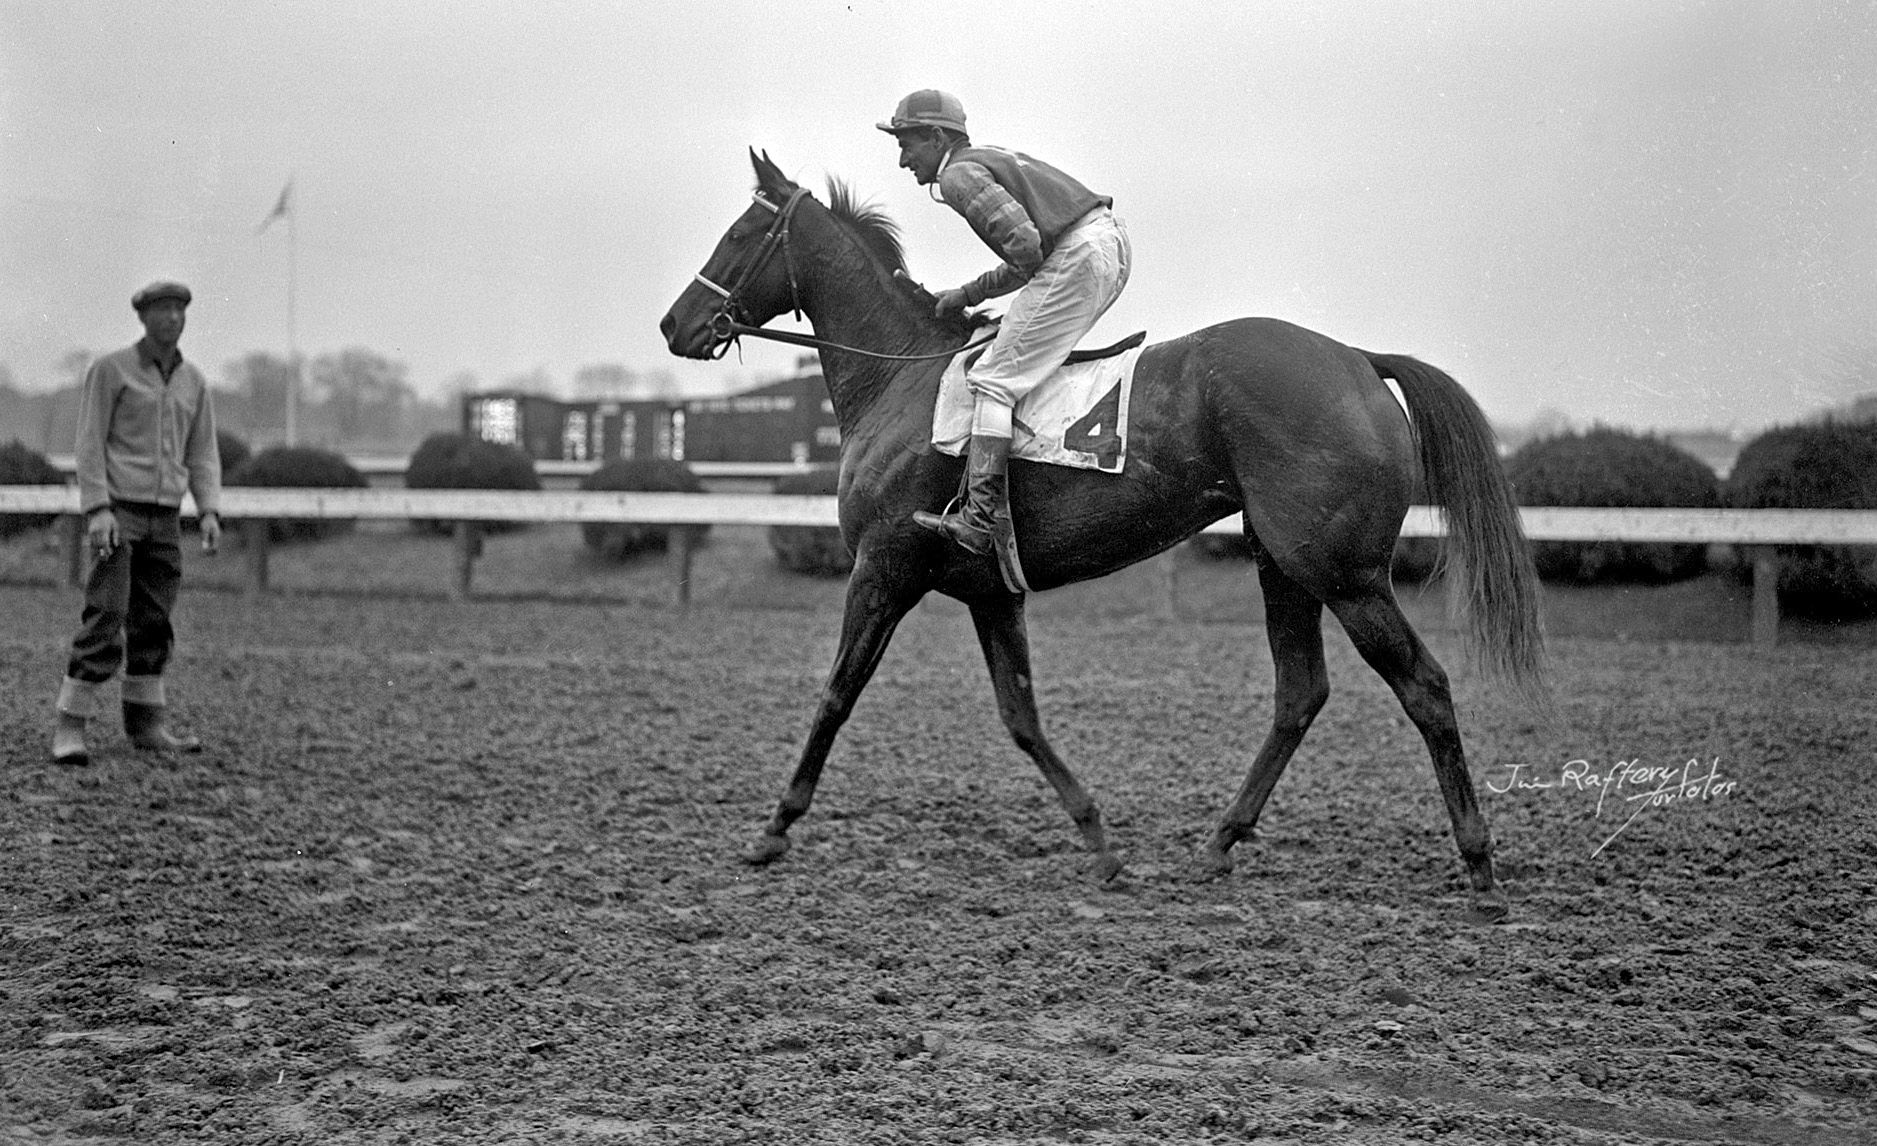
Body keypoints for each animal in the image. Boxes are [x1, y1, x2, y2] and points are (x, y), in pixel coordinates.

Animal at [660, 154, 1539, 922]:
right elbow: (1020, 716)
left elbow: (838, 693)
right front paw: (1102, 844)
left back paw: (1479, 868)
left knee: (1422, 686)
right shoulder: (987, 589)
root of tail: (1356, 357)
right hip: (1282, 561)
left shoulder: (882, 567)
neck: (900, 376)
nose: (675, 324)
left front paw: (774, 828)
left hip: (1343, 572)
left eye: (740, 233)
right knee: (1299, 692)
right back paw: (1220, 843)